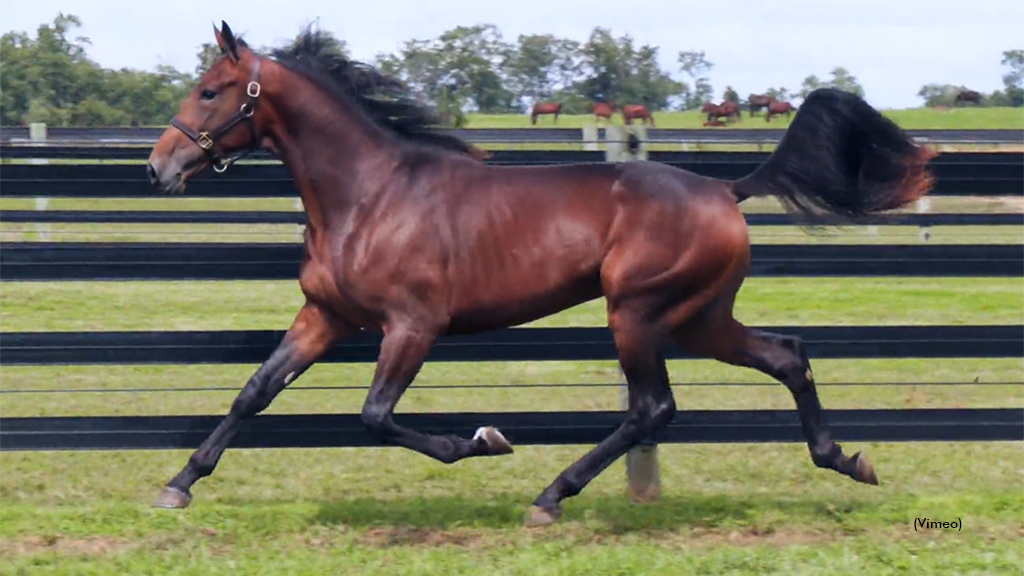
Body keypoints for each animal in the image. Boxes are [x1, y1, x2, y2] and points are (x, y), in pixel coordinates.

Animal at [144, 21, 937, 524]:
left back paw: (550, 497)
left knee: (653, 408)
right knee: (787, 356)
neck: (369, 194)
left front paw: (482, 441)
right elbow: (254, 392)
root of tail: (725, 189)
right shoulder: (325, 317)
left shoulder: (412, 325)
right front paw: (178, 485)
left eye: (211, 90)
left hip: (638, 312)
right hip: (700, 318)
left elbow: (375, 415)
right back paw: (846, 460)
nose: (159, 168)